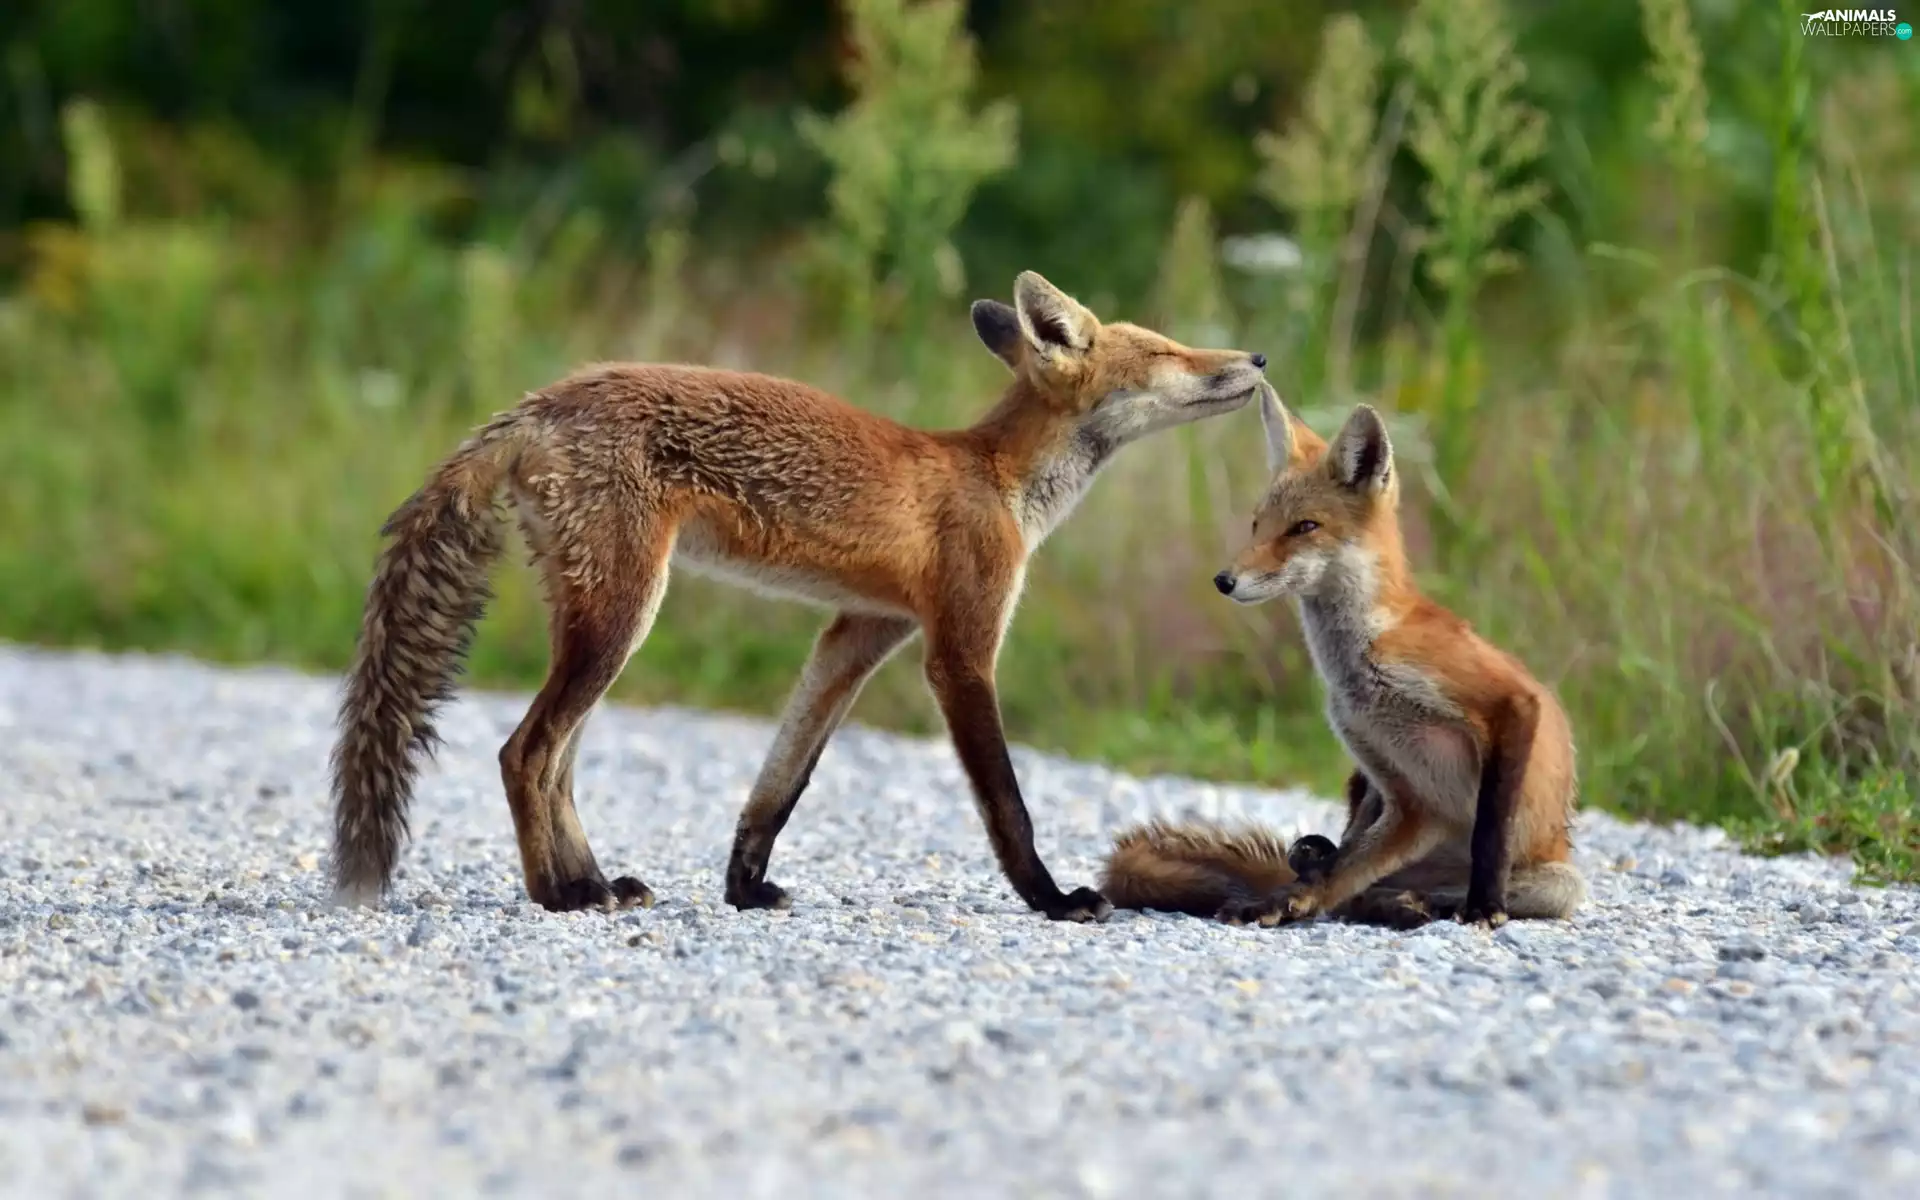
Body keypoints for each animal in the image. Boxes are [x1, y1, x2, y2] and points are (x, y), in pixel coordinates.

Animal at [327, 270, 1269, 922]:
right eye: (1168, 352)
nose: (1257, 358)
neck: (998, 480)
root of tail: (537, 405)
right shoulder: (959, 649)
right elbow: (1008, 803)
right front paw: (1053, 899)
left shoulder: (859, 633)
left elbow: (780, 784)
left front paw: (746, 887)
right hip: (622, 617)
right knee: (524, 753)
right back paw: (563, 894)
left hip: (599, 620)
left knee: (555, 762)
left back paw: (589, 878)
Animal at [1101, 384, 1586, 929]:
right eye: (1257, 524)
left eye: (1304, 527)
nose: (1224, 580)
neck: (1360, 657)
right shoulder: (1403, 792)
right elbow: (1339, 868)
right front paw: (1286, 900)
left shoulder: (1509, 701)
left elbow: (1490, 832)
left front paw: (1486, 905)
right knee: (1344, 883)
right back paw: (1383, 902)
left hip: (1558, 880)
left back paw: (1427, 903)